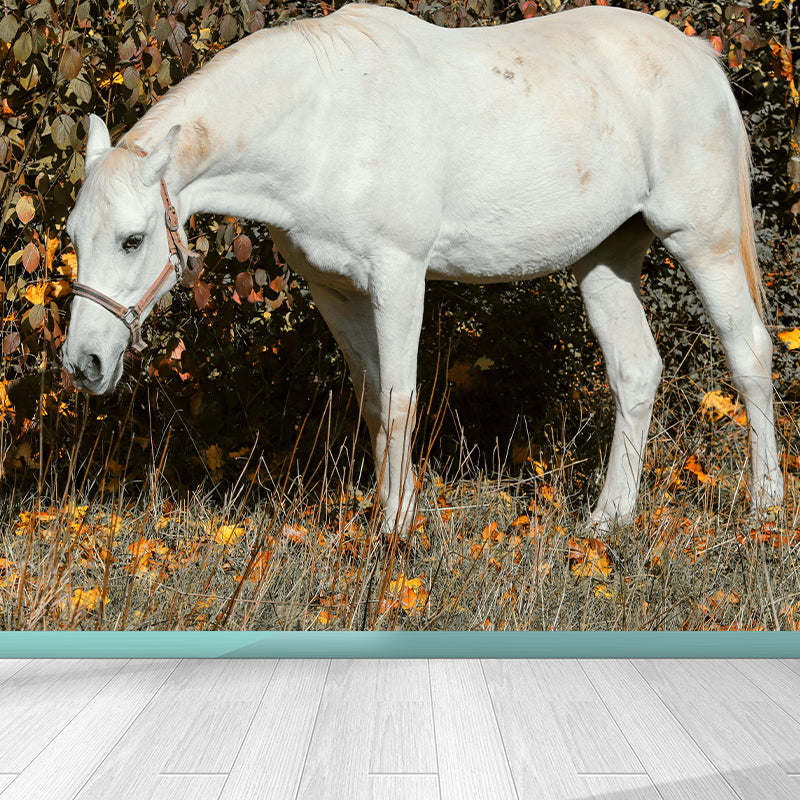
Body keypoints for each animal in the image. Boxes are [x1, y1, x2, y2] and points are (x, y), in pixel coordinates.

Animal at [61, 3, 783, 534]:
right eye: (72, 236)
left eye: (132, 240)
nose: (84, 363)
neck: (324, 128)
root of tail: (700, 57)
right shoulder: (336, 291)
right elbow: (374, 402)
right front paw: (395, 515)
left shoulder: (399, 277)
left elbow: (402, 399)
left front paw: (396, 532)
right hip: (606, 258)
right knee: (636, 370)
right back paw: (608, 520)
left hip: (705, 241)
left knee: (748, 352)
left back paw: (764, 508)